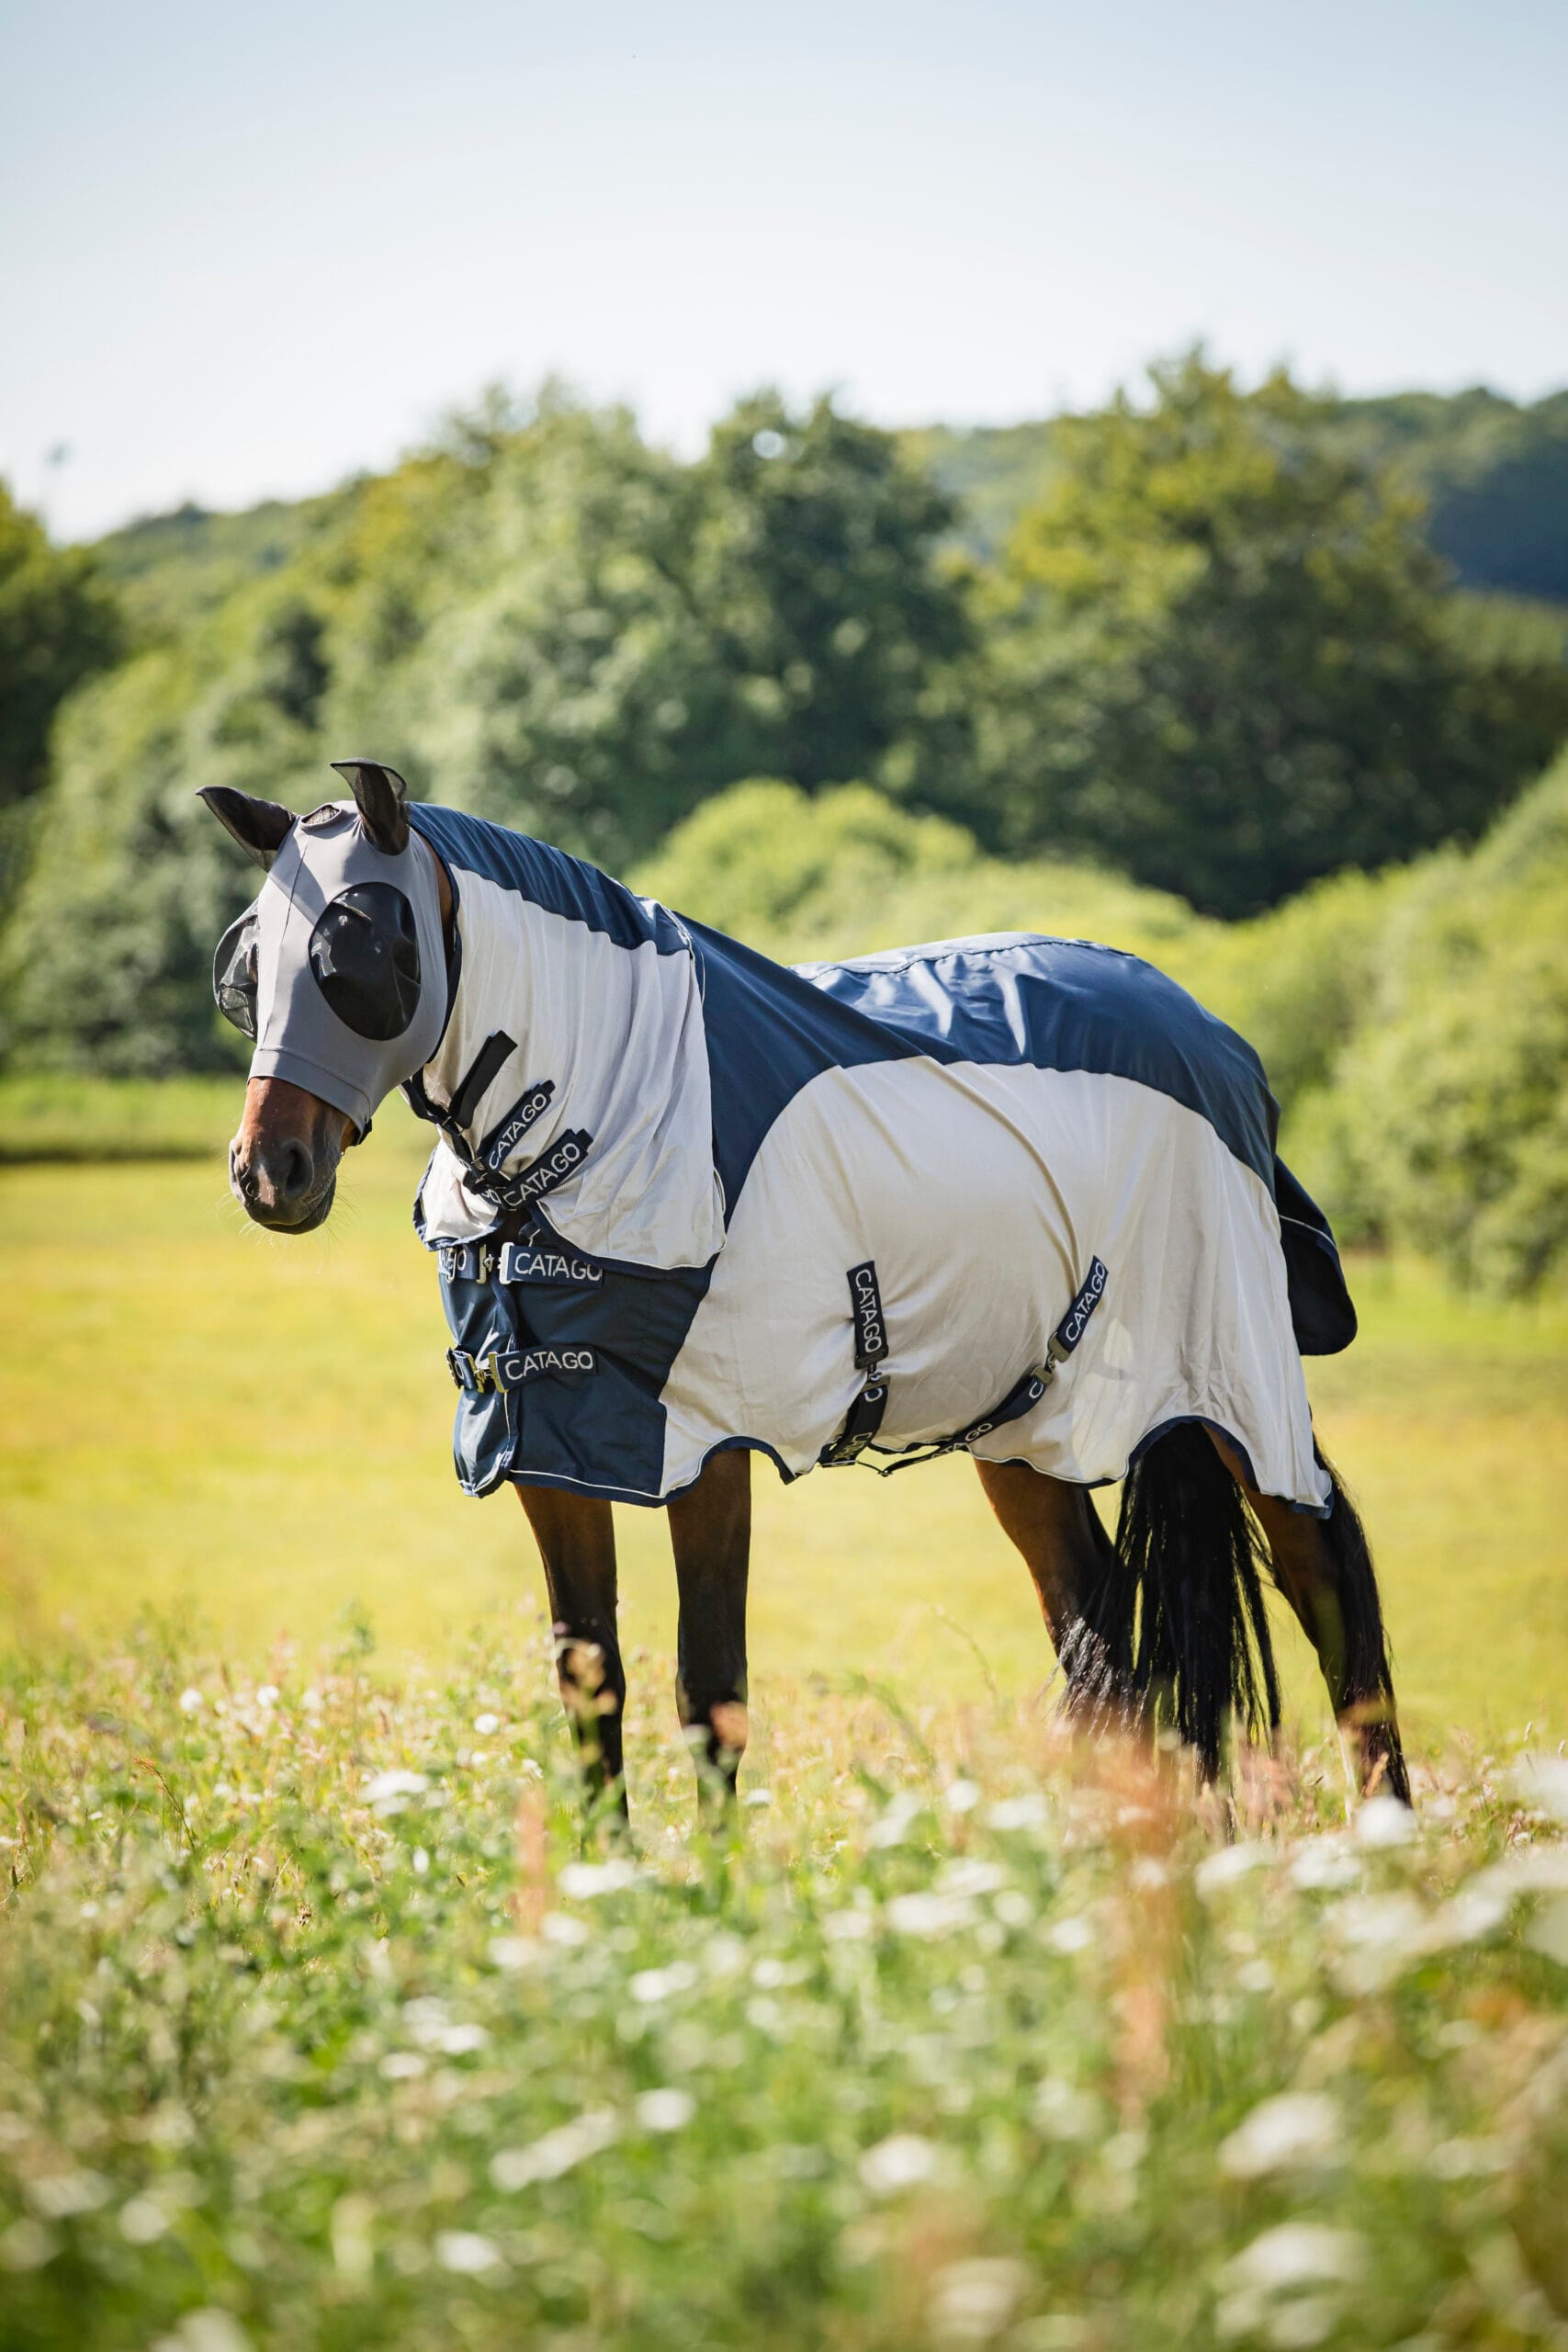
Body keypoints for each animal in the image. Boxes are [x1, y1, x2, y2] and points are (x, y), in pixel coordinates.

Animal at [206, 759, 1410, 1815]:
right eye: (249, 969)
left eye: (363, 950)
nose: (270, 1173)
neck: (611, 1103)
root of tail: (1217, 1039)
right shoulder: (548, 1446)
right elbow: (590, 1684)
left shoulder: (706, 1446)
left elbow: (711, 1693)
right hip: (1030, 1428)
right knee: (1103, 1647)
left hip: (1235, 1389)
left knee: (1328, 1583)